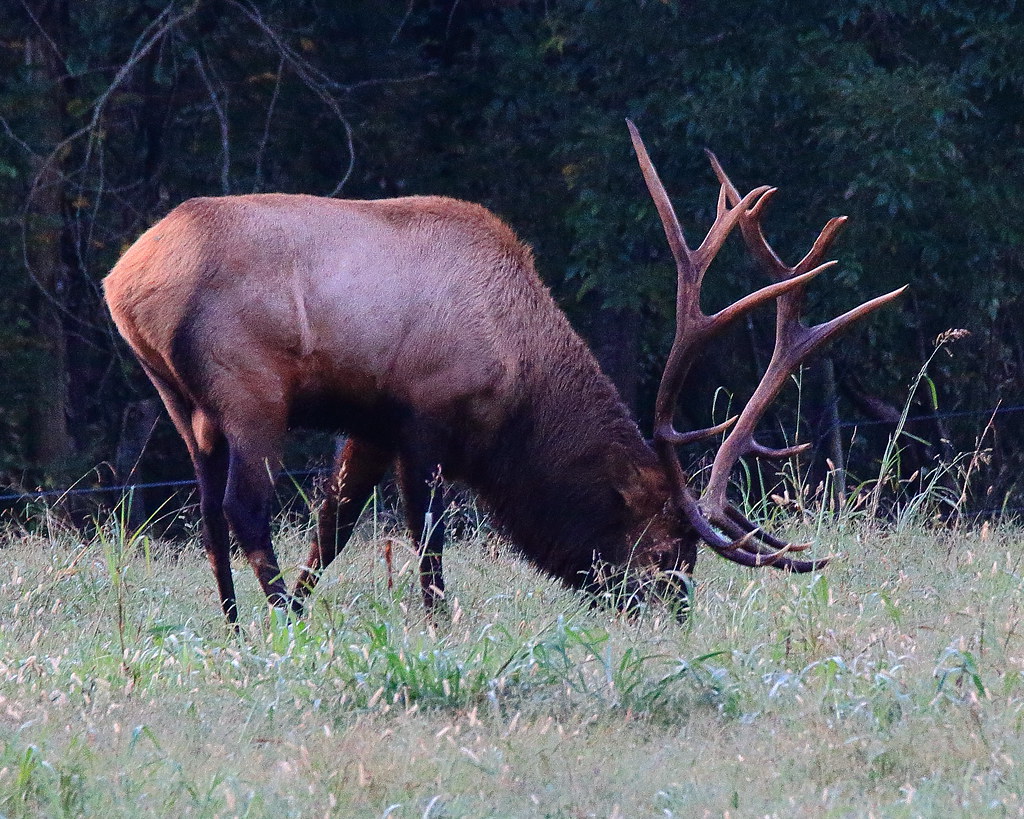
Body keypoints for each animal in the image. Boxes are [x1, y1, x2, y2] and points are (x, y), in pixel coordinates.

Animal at [103, 122, 905, 623]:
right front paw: (436, 622)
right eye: (666, 548)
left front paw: (318, 597)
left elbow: (333, 525)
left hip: (183, 403)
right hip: (251, 391)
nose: (672, 615)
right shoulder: (424, 413)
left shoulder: (370, 424)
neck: (520, 387)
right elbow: (425, 538)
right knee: (243, 507)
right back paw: (283, 621)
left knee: (211, 514)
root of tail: (128, 279)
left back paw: (240, 626)